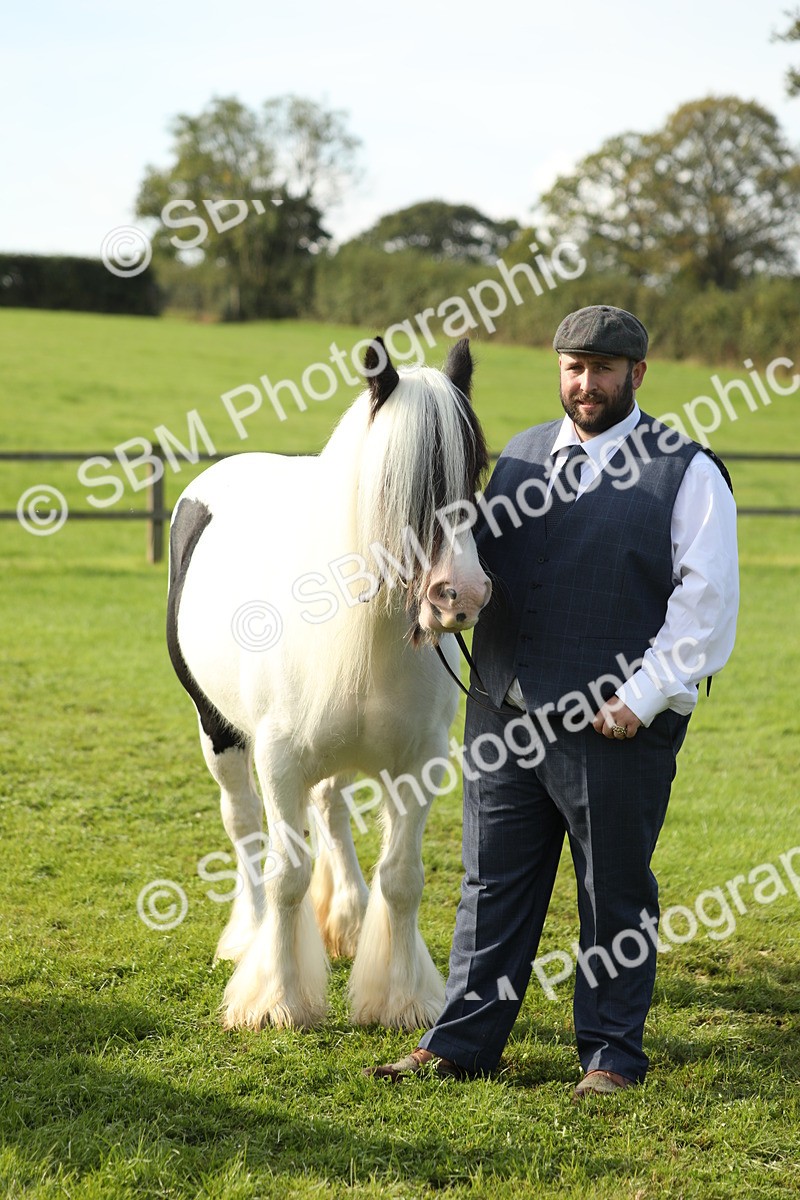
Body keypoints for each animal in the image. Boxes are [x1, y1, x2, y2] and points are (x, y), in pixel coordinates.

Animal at [166, 336, 491, 1031]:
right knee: (245, 827)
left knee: (332, 812)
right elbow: (286, 873)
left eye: (477, 469)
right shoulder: (279, 759)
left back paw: (346, 919)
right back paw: (249, 936)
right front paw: (278, 999)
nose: (461, 596)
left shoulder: (420, 761)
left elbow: (403, 877)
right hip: (219, 733)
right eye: (396, 482)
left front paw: (400, 997)